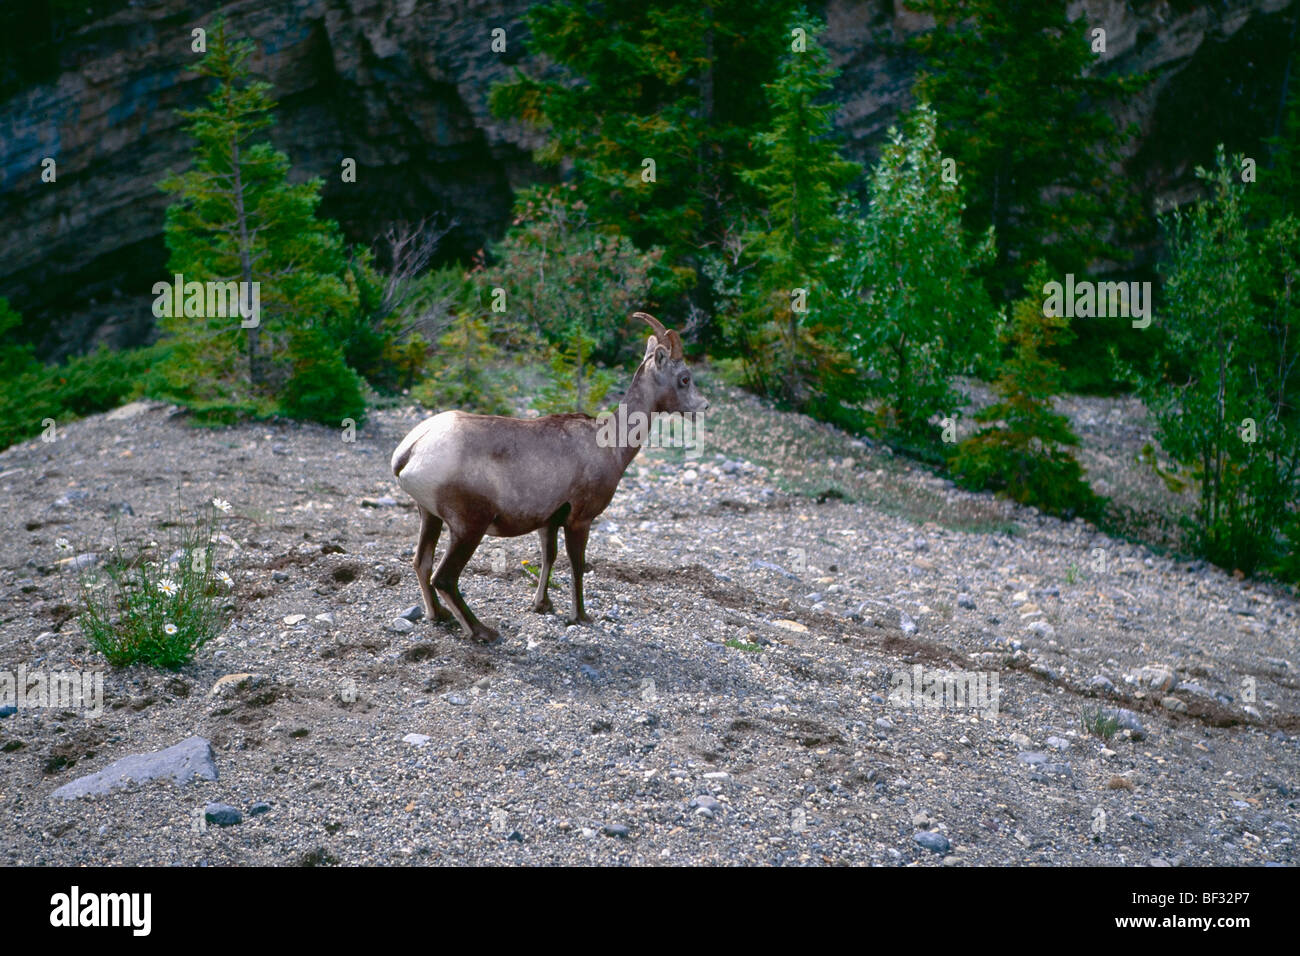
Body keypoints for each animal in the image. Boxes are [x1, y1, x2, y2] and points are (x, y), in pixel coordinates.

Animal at [390, 314, 712, 642]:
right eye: (684, 378)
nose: (703, 407)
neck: (609, 443)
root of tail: (411, 450)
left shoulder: (548, 522)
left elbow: (549, 557)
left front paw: (542, 605)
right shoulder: (580, 519)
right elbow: (577, 565)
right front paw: (580, 616)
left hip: (430, 516)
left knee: (421, 563)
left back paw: (439, 616)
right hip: (469, 527)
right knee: (444, 577)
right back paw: (484, 632)